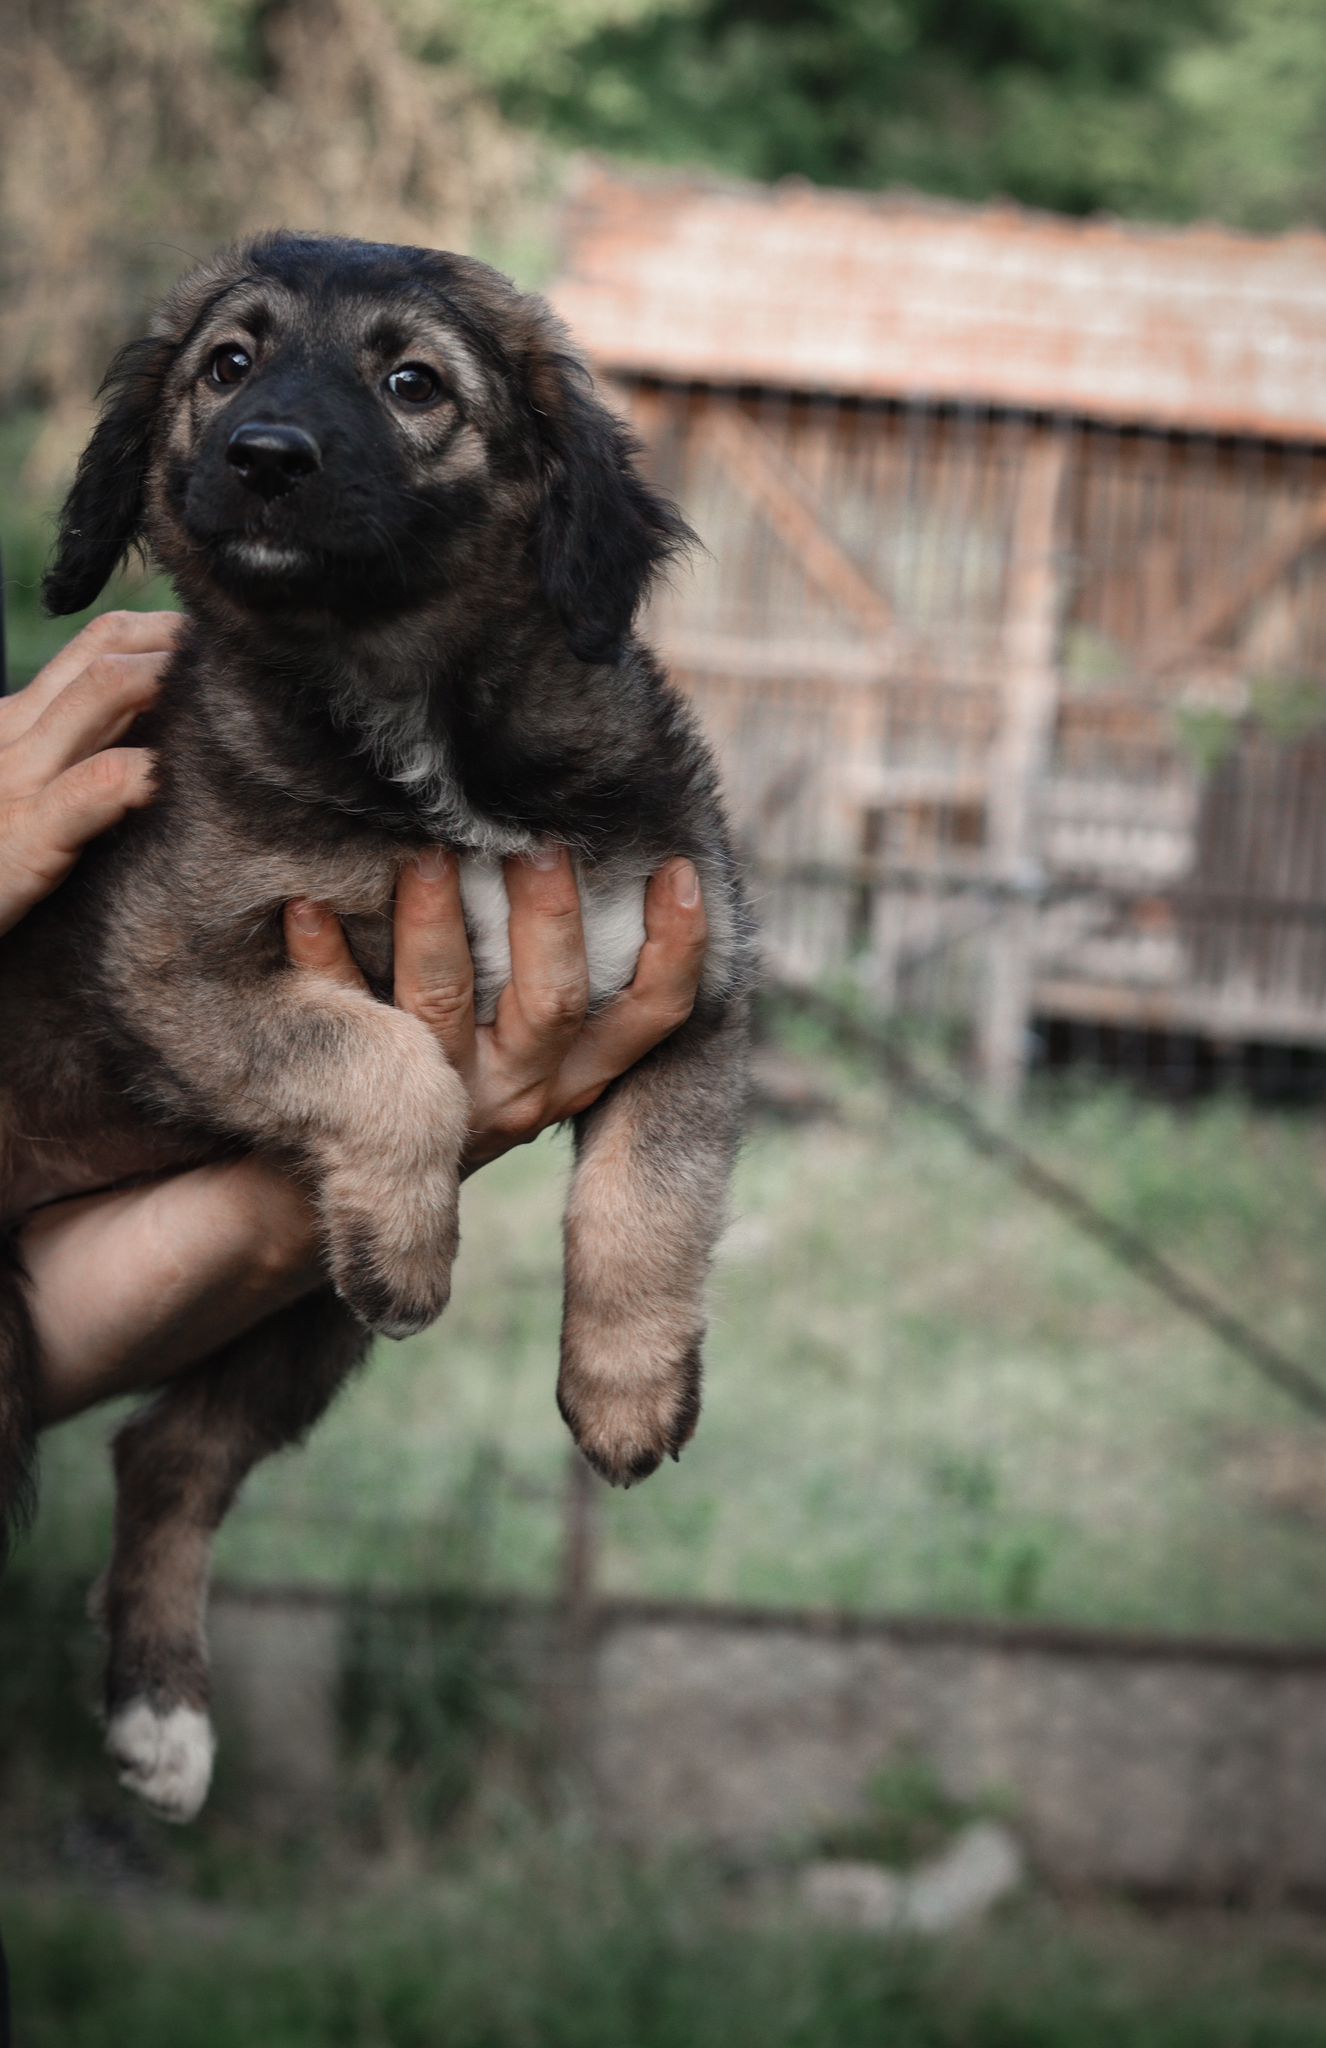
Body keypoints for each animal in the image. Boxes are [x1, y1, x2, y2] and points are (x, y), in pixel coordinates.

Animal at [0, 232, 753, 1820]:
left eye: (413, 383)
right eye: (228, 363)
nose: (263, 456)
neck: (412, 715)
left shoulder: (690, 976)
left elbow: (648, 1200)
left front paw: (626, 1390)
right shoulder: (169, 963)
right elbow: (381, 1053)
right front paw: (415, 1242)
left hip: (291, 1308)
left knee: (165, 1451)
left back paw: (161, 1713)